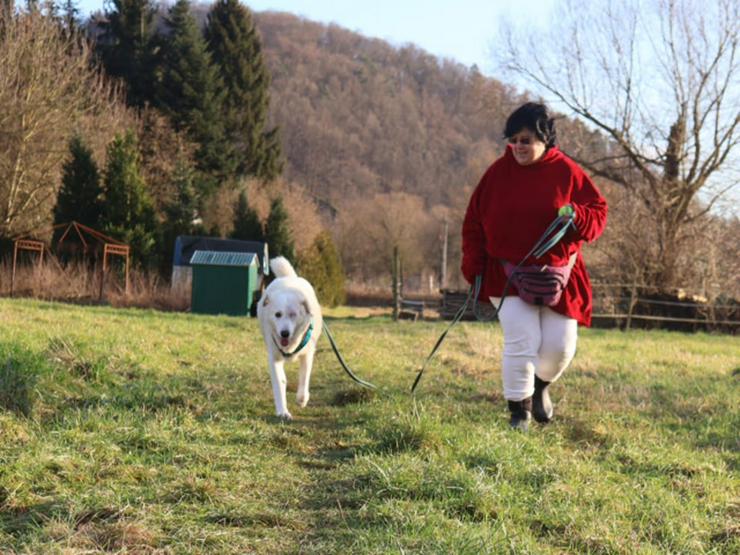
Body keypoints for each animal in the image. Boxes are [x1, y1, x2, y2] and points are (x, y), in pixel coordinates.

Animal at [256, 258, 322, 420]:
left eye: (293, 314)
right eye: (277, 314)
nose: (284, 333)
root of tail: (288, 277)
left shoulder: (307, 354)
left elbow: (304, 377)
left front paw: (302, 399)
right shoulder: (274, 358)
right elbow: (280, 383)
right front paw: (282, 411)